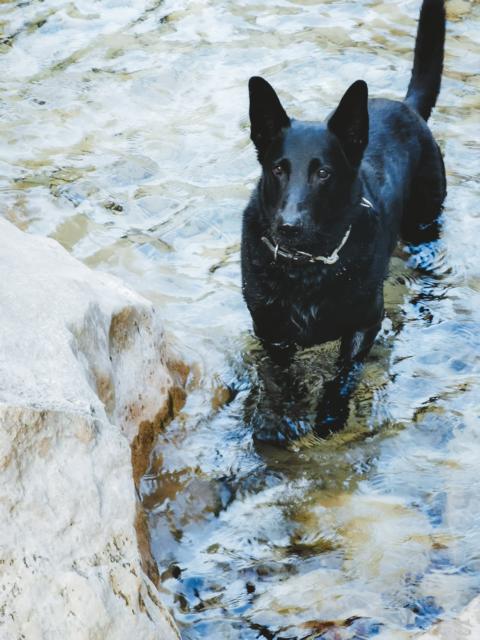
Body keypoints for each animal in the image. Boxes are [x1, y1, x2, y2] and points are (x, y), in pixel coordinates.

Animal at [242, 1, 448, 436]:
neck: (308, 268)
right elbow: (283, 376)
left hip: (425, 221)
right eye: (279, 168)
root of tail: (407, 106)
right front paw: (289, 414)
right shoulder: (270, 332)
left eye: (323, 173)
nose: (288, 227)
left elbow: (344, 374)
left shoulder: (365, 323)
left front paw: (329, 416)